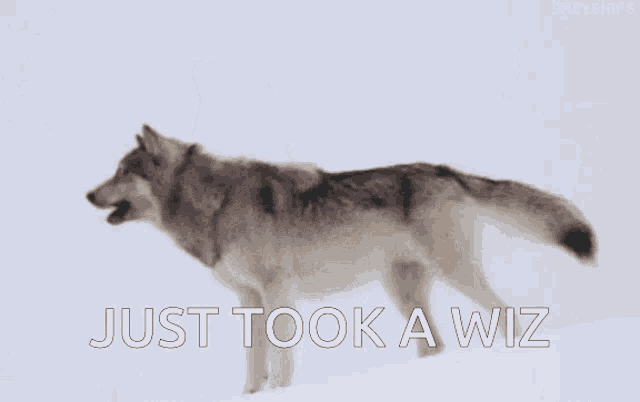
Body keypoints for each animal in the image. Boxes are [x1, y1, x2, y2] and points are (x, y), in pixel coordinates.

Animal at [87, 125, 597, 393]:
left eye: (122, 172)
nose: (88, 194)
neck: (214, 205)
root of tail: (447, 171)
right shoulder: (249, 299)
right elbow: (254, 361)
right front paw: (251, 394)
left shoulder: (277, 292)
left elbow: (281, 360)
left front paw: (281, 392)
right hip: (403, 292)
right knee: (435, 345)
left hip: (454, 274)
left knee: (509, 317)